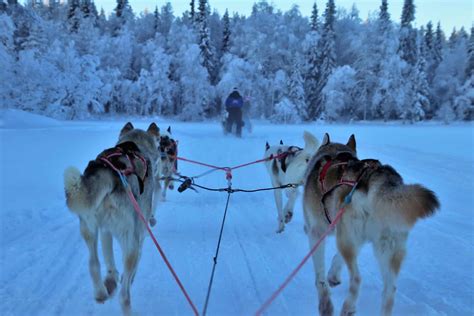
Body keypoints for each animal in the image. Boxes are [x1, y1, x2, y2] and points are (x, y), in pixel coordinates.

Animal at [63, 122, 161, 314]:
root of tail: (111, 172)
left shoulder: (105, 230)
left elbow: (108, 259)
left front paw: (111, 279)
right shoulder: (139, 234)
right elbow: (136, 262)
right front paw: (126, 278)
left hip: (88, 228)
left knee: (93, 264)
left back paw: (101, 292)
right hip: (129, 240)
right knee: (124, 297)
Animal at [302, 133, 438, 316]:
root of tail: (378, 179)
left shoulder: (317, 233)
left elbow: (320, 277)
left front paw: (325, 304)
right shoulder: (352, 237)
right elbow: (337, 259)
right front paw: (333, 276)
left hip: (348, 241)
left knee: (357, 279)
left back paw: (348, 307)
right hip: (386, 248)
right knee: (390, 290)